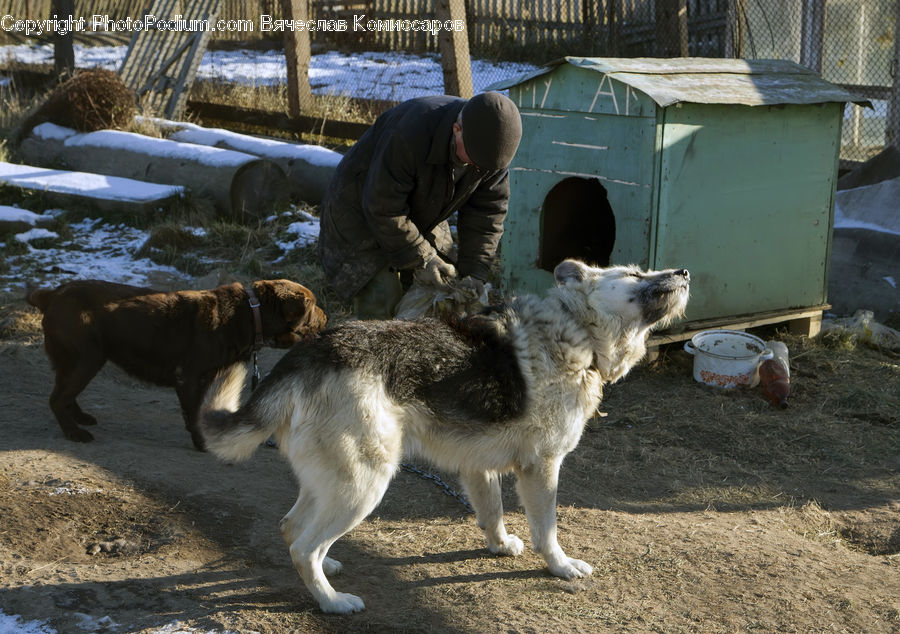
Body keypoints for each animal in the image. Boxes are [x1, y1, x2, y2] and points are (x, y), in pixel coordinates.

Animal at [25, 278, 330, 450]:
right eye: (312, 306)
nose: (327, 316)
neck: (247, 314)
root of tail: (52, 294)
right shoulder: (189, 378)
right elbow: (193, 415)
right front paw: (202, 444)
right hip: (86, 359)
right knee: (57, 398)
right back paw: (74, 432)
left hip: (81, 361)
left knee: (65, 394)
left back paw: (80, 418)